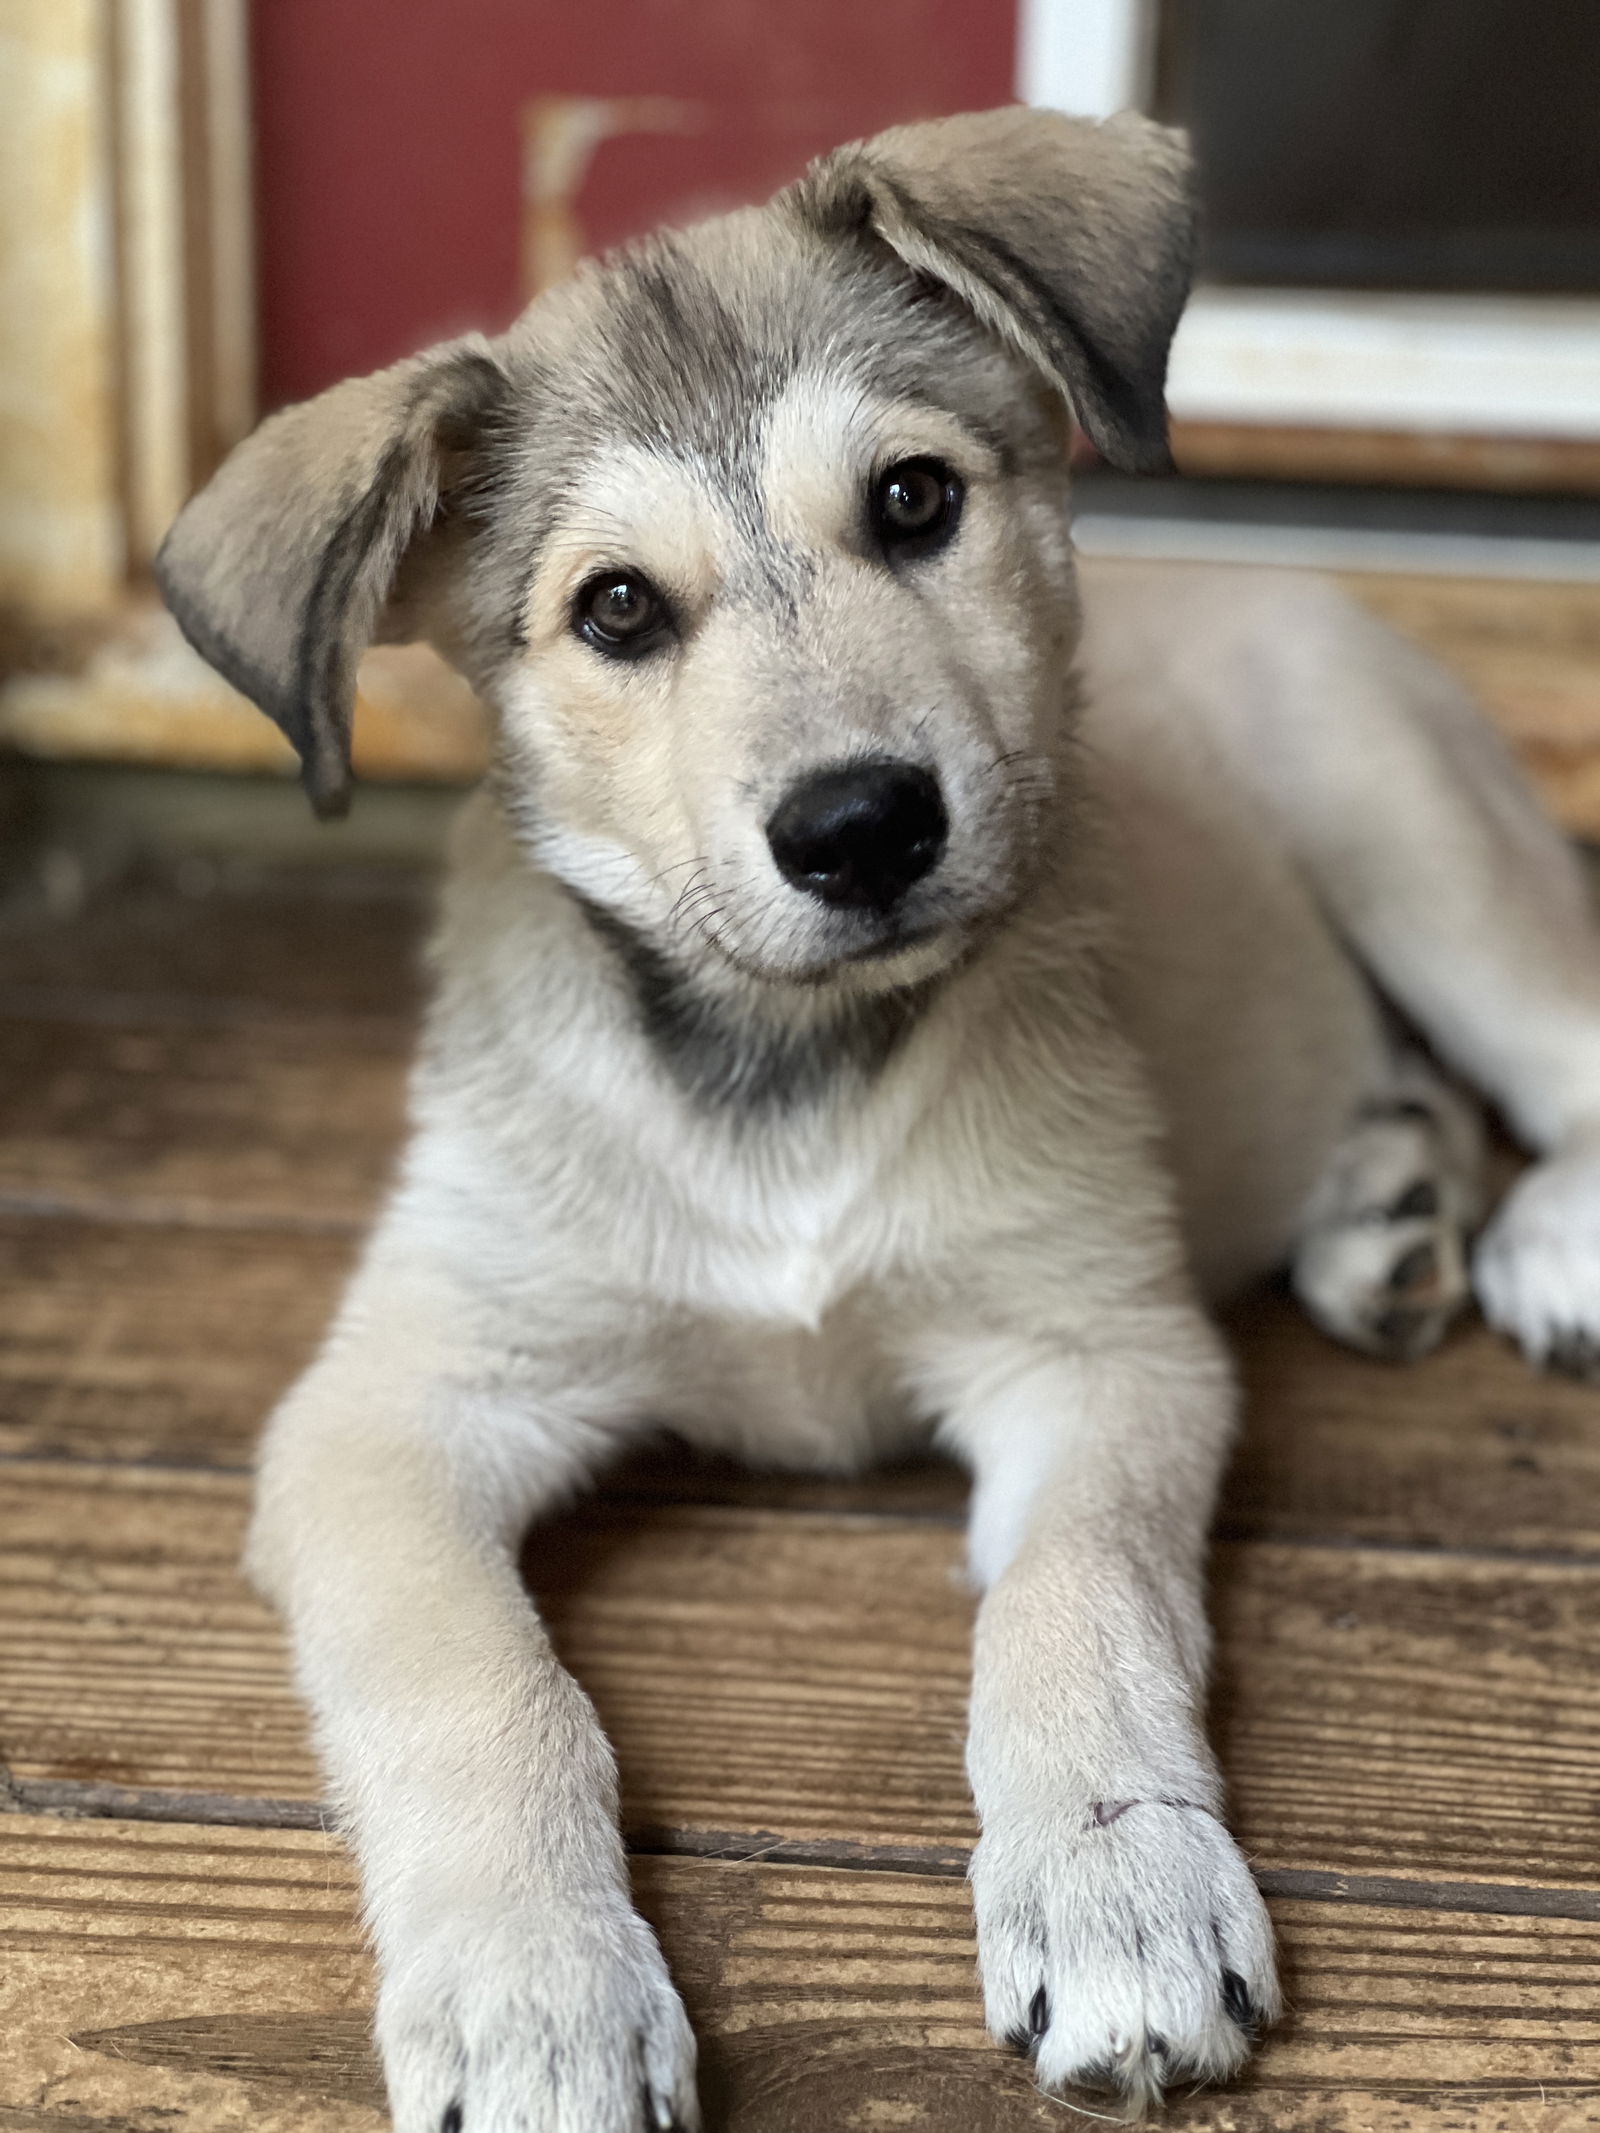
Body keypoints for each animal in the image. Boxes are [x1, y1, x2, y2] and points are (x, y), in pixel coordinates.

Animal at [156, 103, 1600, 2133]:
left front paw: (1119, 1887)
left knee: (1562, 1039)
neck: (790, 1068)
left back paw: (1537, 1239)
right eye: (616, 607)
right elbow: (480, 1688)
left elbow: (1071, 1609)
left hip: (1399, 814)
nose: (859, 828)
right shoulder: (394, 1409)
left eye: (915, 500)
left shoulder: (1098, 1348)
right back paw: (1383, 1213)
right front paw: (538, 1992)